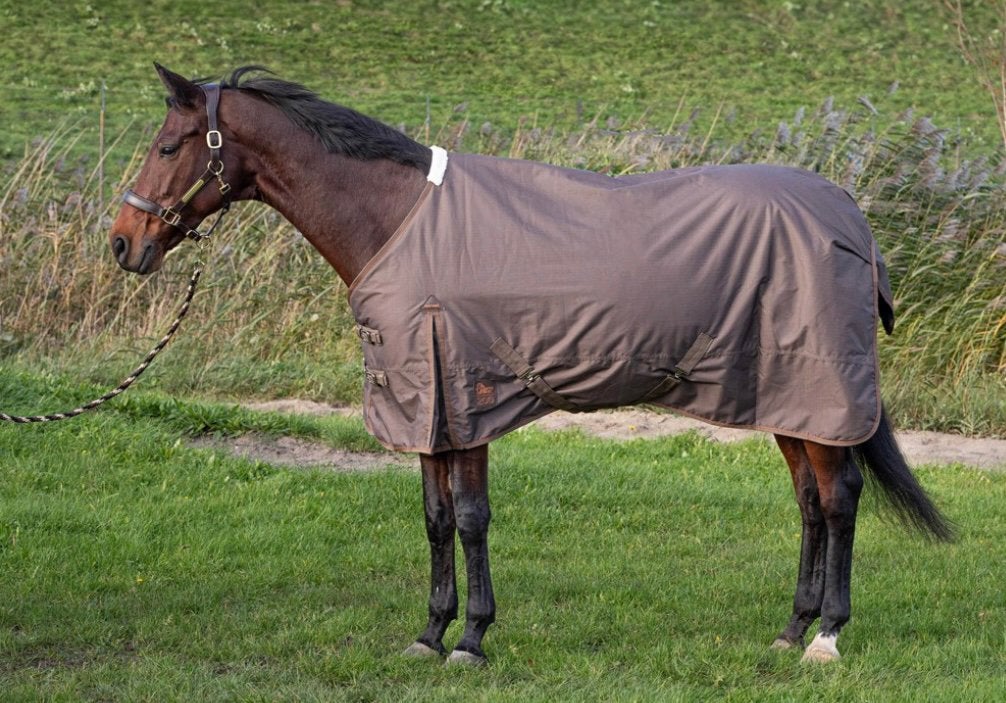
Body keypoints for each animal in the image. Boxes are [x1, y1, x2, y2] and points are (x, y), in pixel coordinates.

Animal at [110, 64, 952, 666]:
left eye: (167, 146)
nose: (124, 242)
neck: (398, 221)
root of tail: (850, 218)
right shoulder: (427, 407)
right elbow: (435, 517)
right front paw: (429, 632)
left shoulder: (466, 395)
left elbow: (472, 517)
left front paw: (472, 640)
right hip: (785, 397)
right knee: (810, 501)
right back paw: (789, 629)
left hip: (821, 390)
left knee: (839, 499)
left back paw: (827, 637)